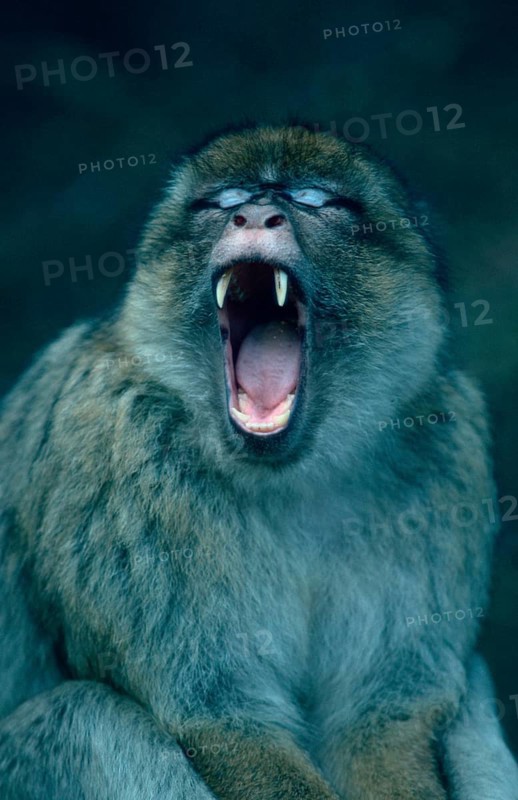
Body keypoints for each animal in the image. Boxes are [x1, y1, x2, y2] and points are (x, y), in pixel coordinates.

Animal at [0, 124, 516, 800]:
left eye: (312, 199)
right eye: (225, 201)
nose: (254, 215)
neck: (293, 472)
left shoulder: (446, 452)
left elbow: (383, 721)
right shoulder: (116, 450)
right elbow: (221, 716)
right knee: (86, 717)